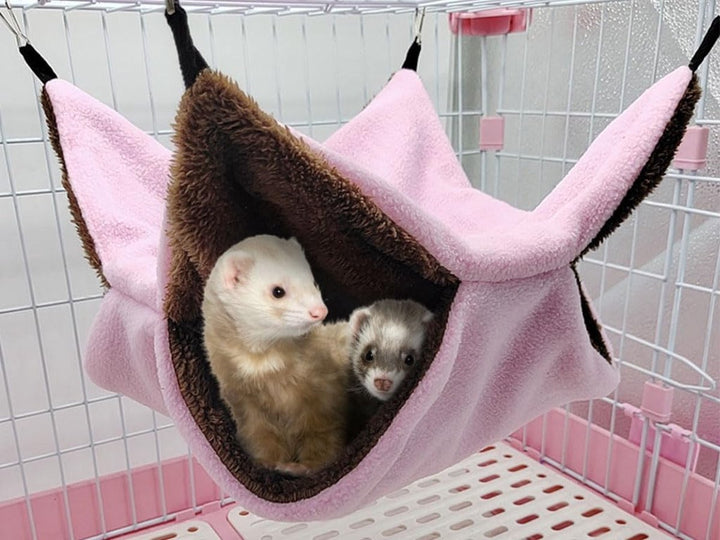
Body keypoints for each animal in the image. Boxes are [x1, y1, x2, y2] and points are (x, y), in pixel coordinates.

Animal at [202, 235, 350, 475]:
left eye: (313, 281)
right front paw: (267, 462)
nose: (319, 311)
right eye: (278, 291)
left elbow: (323, 441)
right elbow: (260, 437)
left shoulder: (325, 402)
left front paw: (303, 467)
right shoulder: (244, 405)